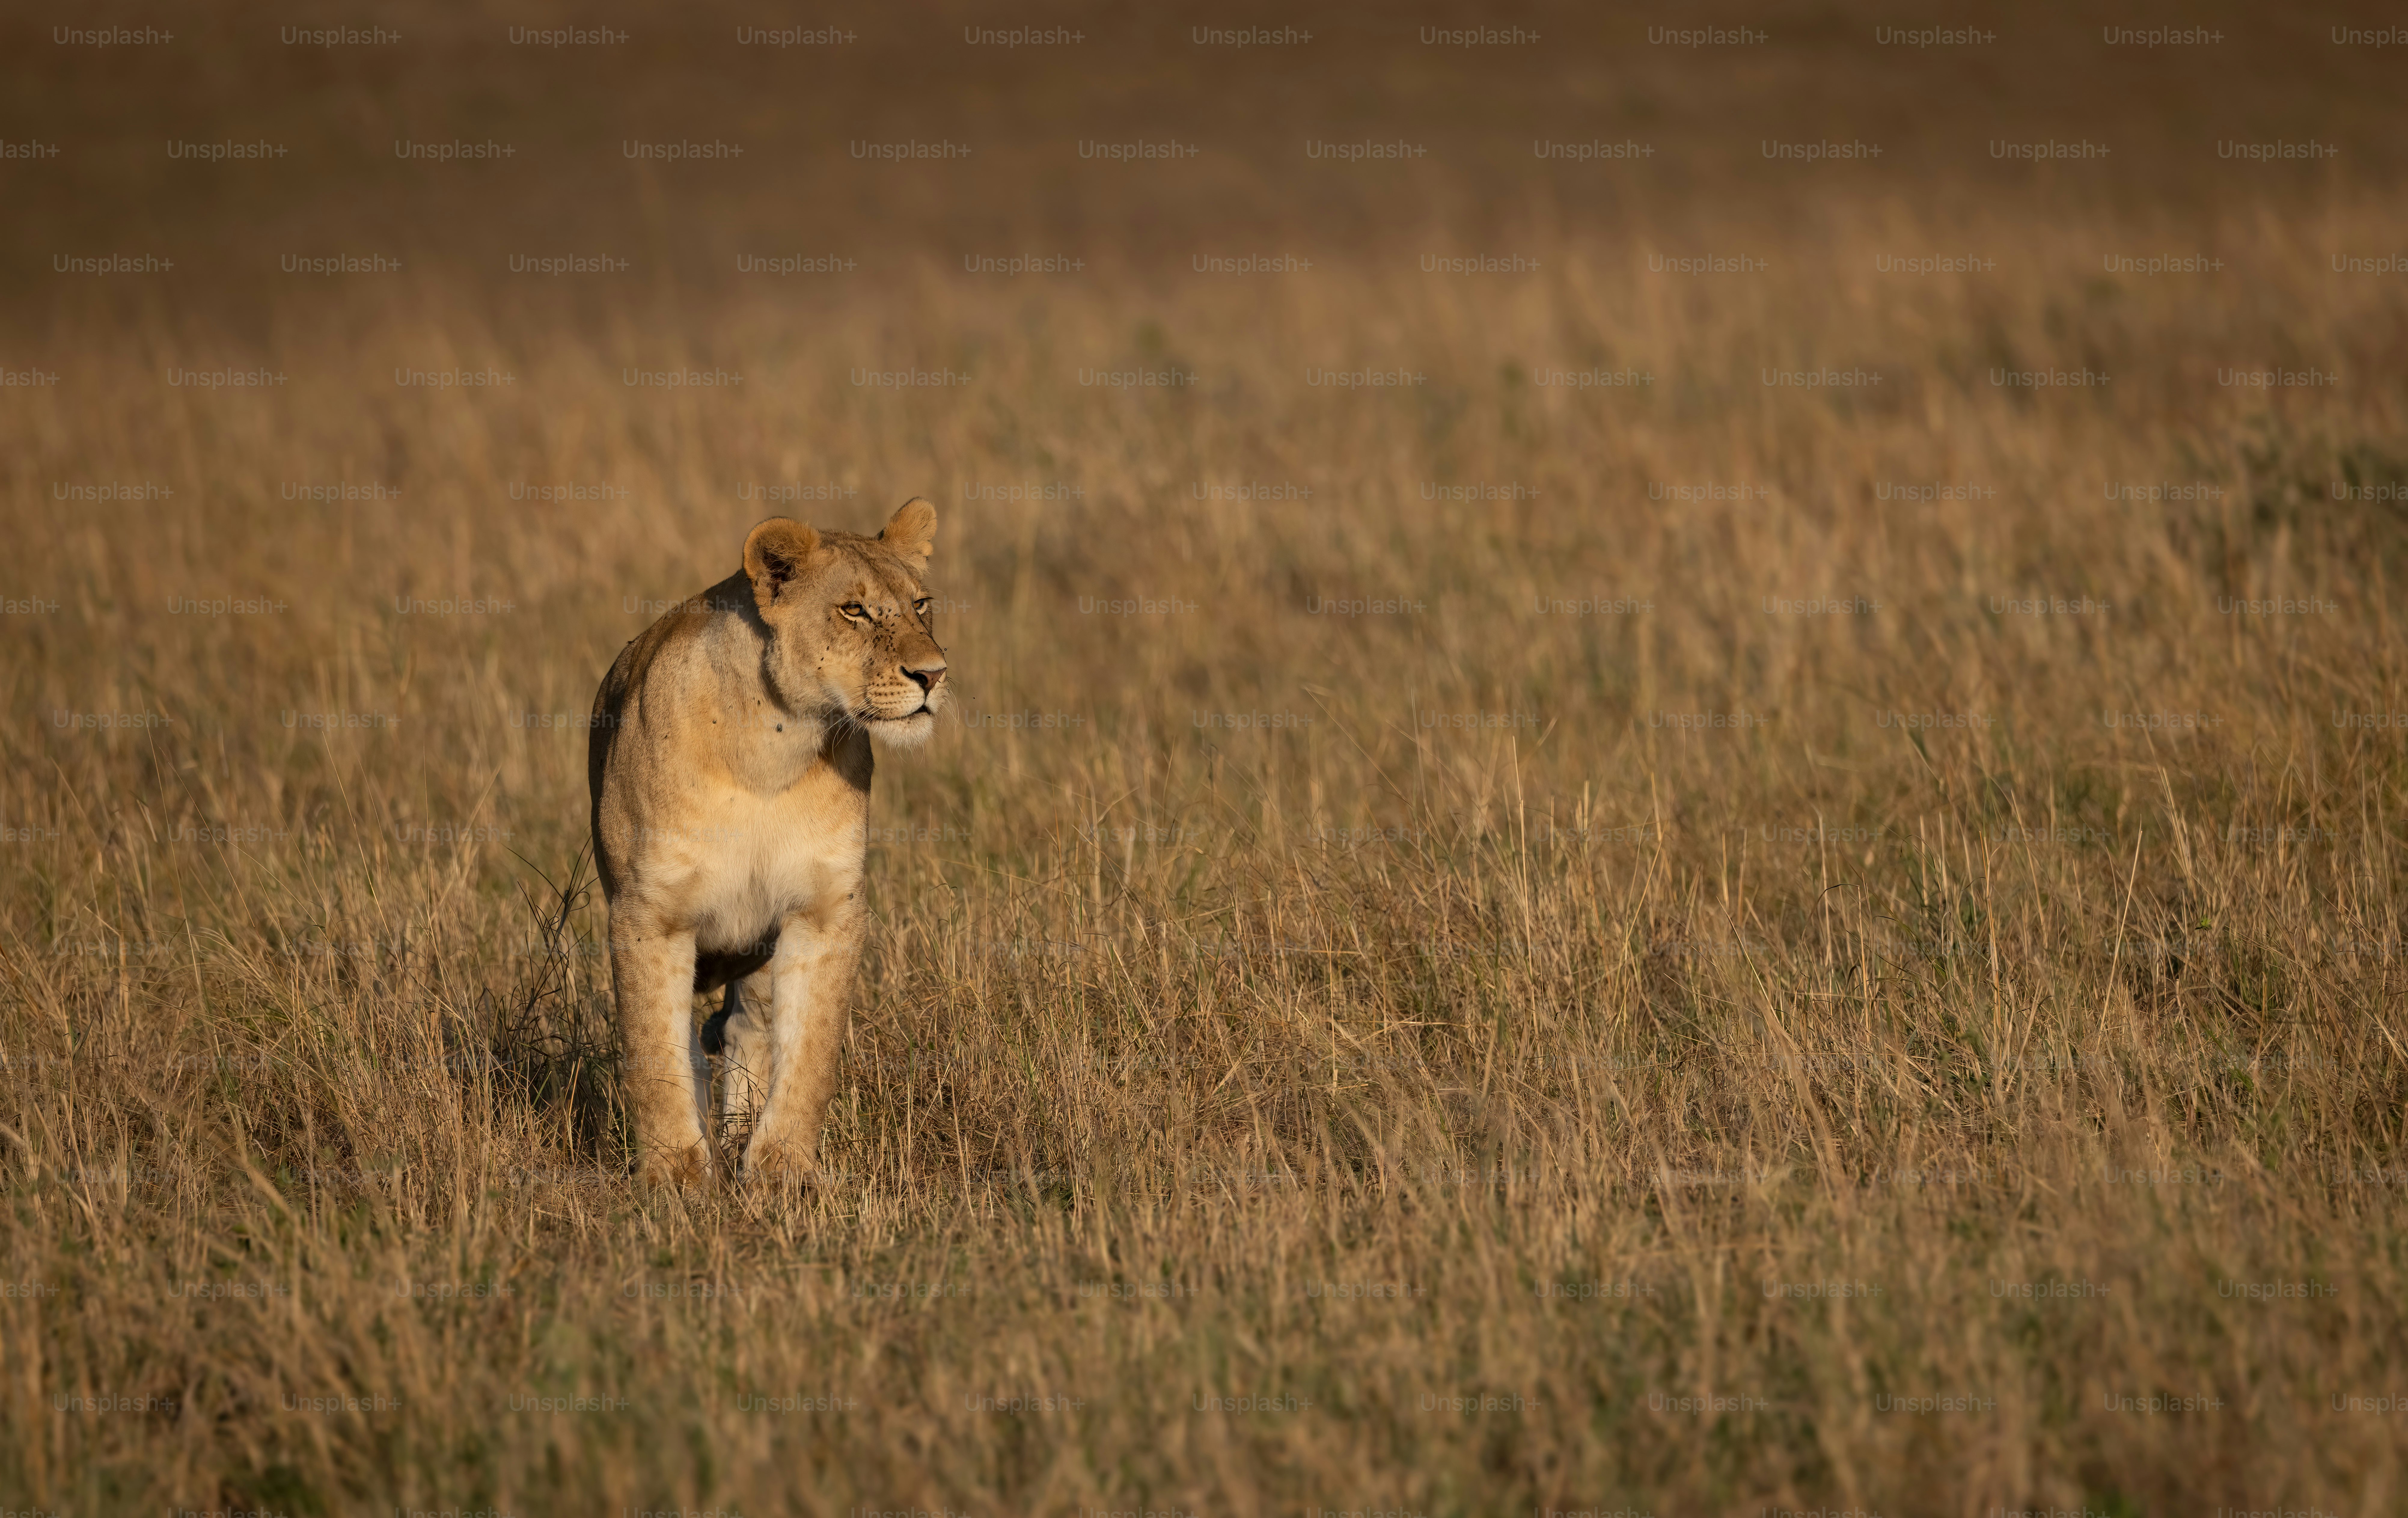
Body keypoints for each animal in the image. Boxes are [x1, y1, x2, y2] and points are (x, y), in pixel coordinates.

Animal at [587, 499, 947, 1186]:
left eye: (921, 604)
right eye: (854, 610)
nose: (934, 675)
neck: (772, 749)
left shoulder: (826, 910)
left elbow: (810, 1052)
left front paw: (782, 1169)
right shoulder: (649, 913)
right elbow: (655, 1052)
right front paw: (674, 1174)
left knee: (747, 1029)